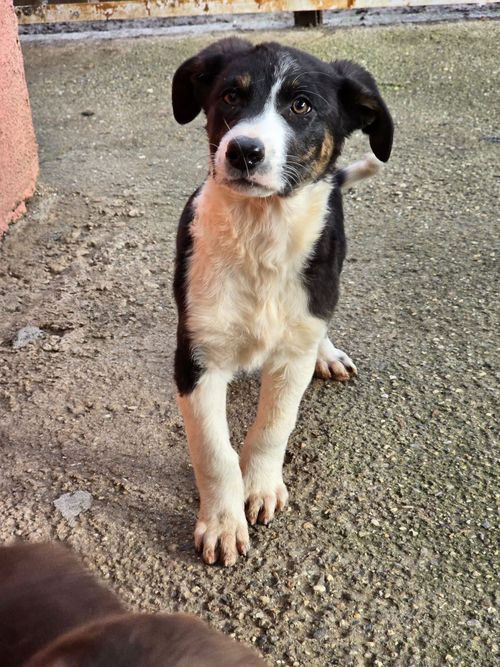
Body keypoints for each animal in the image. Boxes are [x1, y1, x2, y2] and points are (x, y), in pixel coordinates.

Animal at [171, 38, 393, 566]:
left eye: (301, 105)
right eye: (231, 95)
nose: (243, 151)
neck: (260, 236)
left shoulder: (291, 356)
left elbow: (274, 425)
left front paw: (260, 485)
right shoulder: (196, 357)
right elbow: (213, 450)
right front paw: (222, 521)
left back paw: (327, 354)